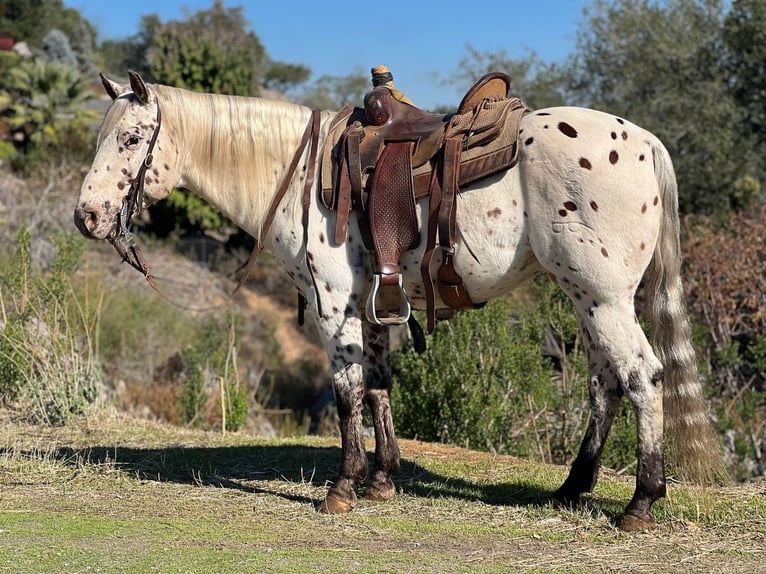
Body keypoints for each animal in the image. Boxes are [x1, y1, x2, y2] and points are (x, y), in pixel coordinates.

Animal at [75, 72, 728, 536]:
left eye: (130, 138)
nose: (86, 217)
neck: (299, 174)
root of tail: (646, 142)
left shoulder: (333, 304)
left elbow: (348, 392)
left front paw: (342, 488)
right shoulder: (372, 304)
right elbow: (381, 383)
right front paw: (383, 479)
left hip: (604, 298)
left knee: (642, 376)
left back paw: (641, 502)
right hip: (584, 298)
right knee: (604, 382)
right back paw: (572, 487)